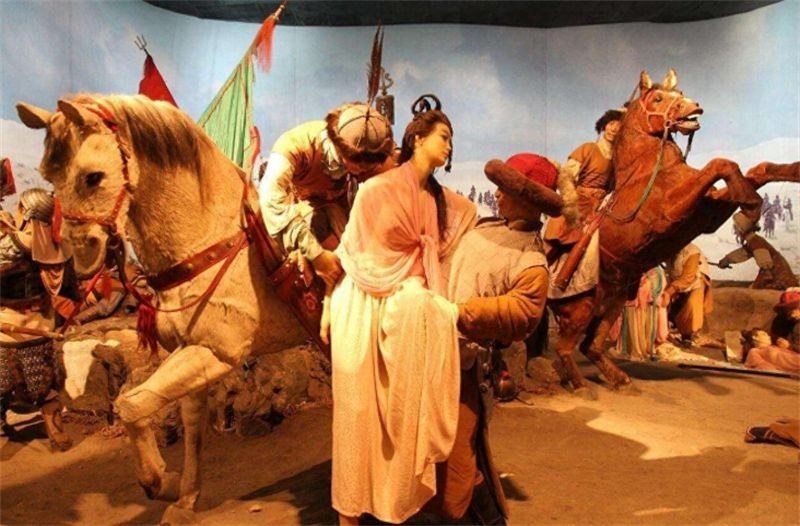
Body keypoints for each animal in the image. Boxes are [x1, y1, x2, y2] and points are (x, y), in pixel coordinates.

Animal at [16, 94, 308, 523]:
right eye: (48, 176)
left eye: (92, 177)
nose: (81, 258)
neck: (211, 241)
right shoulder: (191, 354)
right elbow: (189, 423)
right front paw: (184, 499)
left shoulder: (216, 353)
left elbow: (131, 404)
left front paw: (159, 481)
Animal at [547, 69, 800, 395]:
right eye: (657, 98)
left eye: (679, 93)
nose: (695, 106)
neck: (649, 173)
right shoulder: (677, 211)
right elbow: (721, 163)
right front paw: (752, 205)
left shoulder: (707, 212)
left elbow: (757, 169)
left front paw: (787, 175)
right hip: (582, 306)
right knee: (566, 346)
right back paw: (580, 384)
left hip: (613, 303)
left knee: (591, 345)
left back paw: (618, 378)